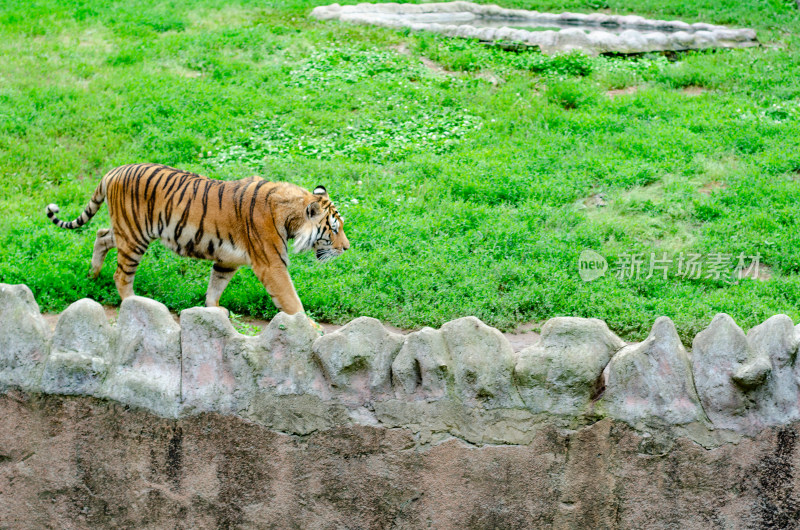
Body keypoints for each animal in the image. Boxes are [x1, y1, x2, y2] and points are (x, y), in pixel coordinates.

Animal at [45, 162, 348, 314]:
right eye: (333, 229)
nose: (346, 248)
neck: (290, 217)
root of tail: (112, 171)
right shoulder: (272, 265)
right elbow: (292, 301)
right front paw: (311, 329)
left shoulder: (227, 260)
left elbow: (215, 288)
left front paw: (215, 313)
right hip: (134, 237)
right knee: (121, 275)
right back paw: (134, 302)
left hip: (126, 231)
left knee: (101, 235)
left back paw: (92, 275)